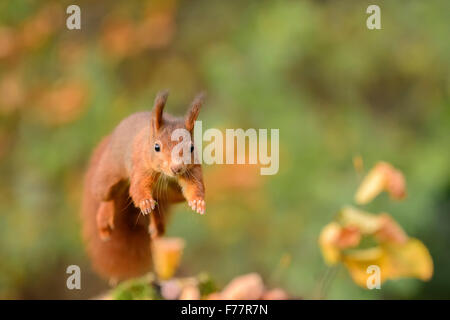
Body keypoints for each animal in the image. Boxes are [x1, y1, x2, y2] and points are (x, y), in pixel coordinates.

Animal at [81, 90, 206, 282]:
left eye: (192, 147)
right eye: (157, 147)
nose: (176, 168)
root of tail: (110, 138)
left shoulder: (192, 171)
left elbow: (195, 186)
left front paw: (198, 201)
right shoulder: (141, 167)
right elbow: (138, 188)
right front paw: (145, 203)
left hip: (172, 195)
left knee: (158, 201)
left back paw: (157, 226)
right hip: (107, 176)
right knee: (107, 196)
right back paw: (104, 220)